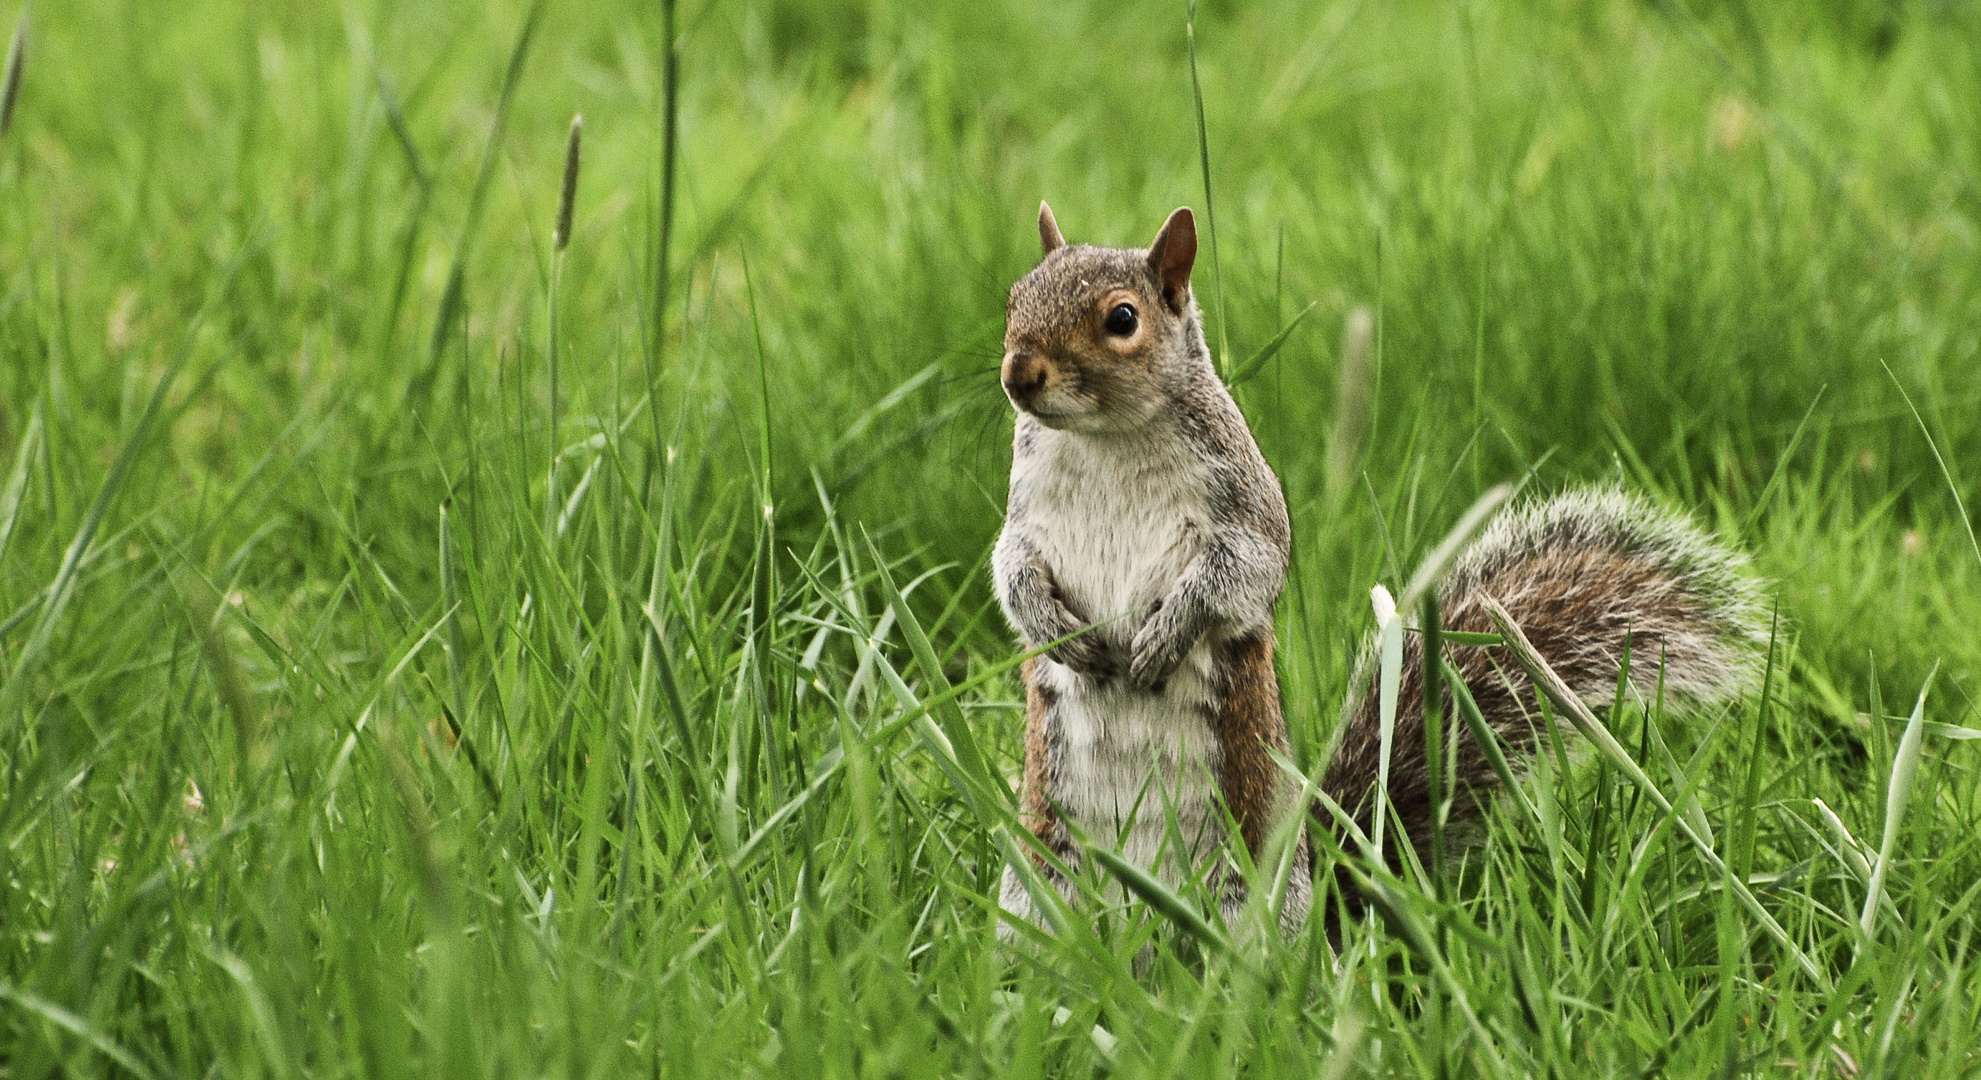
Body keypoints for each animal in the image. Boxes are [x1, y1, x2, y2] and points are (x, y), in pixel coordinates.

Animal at [990, 204, 1767, 935]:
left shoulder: (1242, 507)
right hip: (1036, 888)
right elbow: (1011, 570)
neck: (1105, 439)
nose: (1019, 373)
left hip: (1249, 899)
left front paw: (1164, 637)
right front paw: (1056, 631)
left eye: (1123, 318)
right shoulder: (1023, 517)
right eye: (1012, 297)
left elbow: (1237, 577)